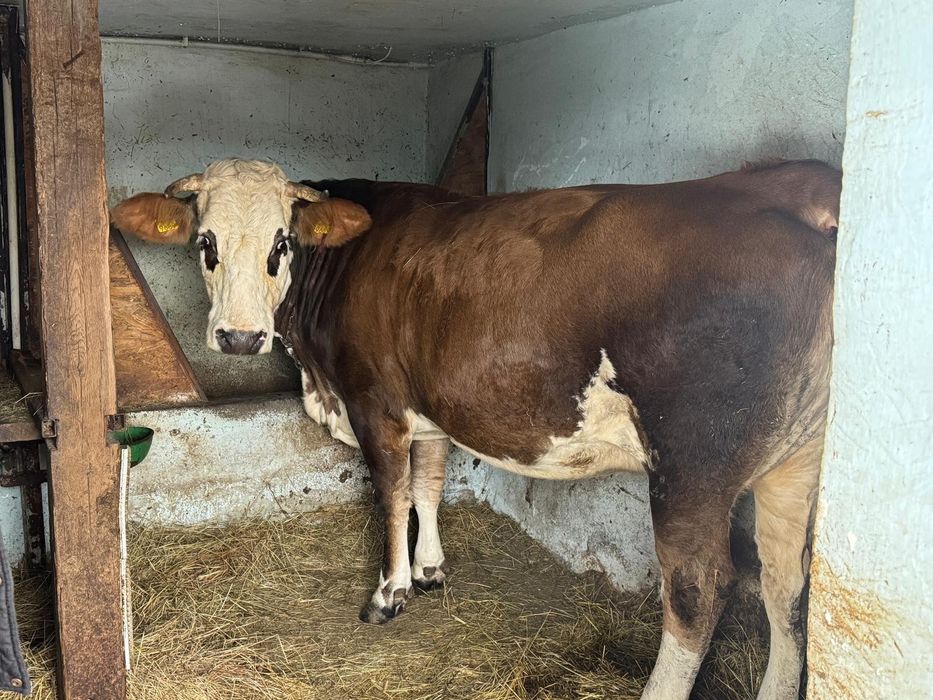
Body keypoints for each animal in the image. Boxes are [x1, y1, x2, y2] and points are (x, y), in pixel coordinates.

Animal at [112, 157, 840, 700]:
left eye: (281, 243)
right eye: (204, 243)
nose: (239, 337)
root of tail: (783, 186)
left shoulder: (374, 403)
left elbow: (392, 496)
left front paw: (390, 593)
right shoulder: (428, 406)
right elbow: (428, 488)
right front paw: (431, 569)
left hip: (692, 463)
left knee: (699, 592)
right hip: (797, 458)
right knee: (788, 582)